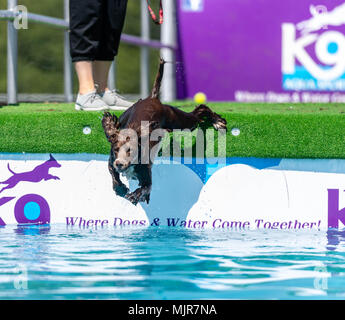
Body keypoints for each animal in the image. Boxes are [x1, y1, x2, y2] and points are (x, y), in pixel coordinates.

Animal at [101, 58, 226, 206]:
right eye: (116, 150)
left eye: (130, 150)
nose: (119, 163)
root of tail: (153, 98)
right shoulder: (111, 161)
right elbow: (114, 176)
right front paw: (120, 189)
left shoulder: (146, 174)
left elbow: (145, 187)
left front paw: (135, 196)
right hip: (126, 116)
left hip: (179, 120)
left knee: (201, 109)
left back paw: (218, 122)